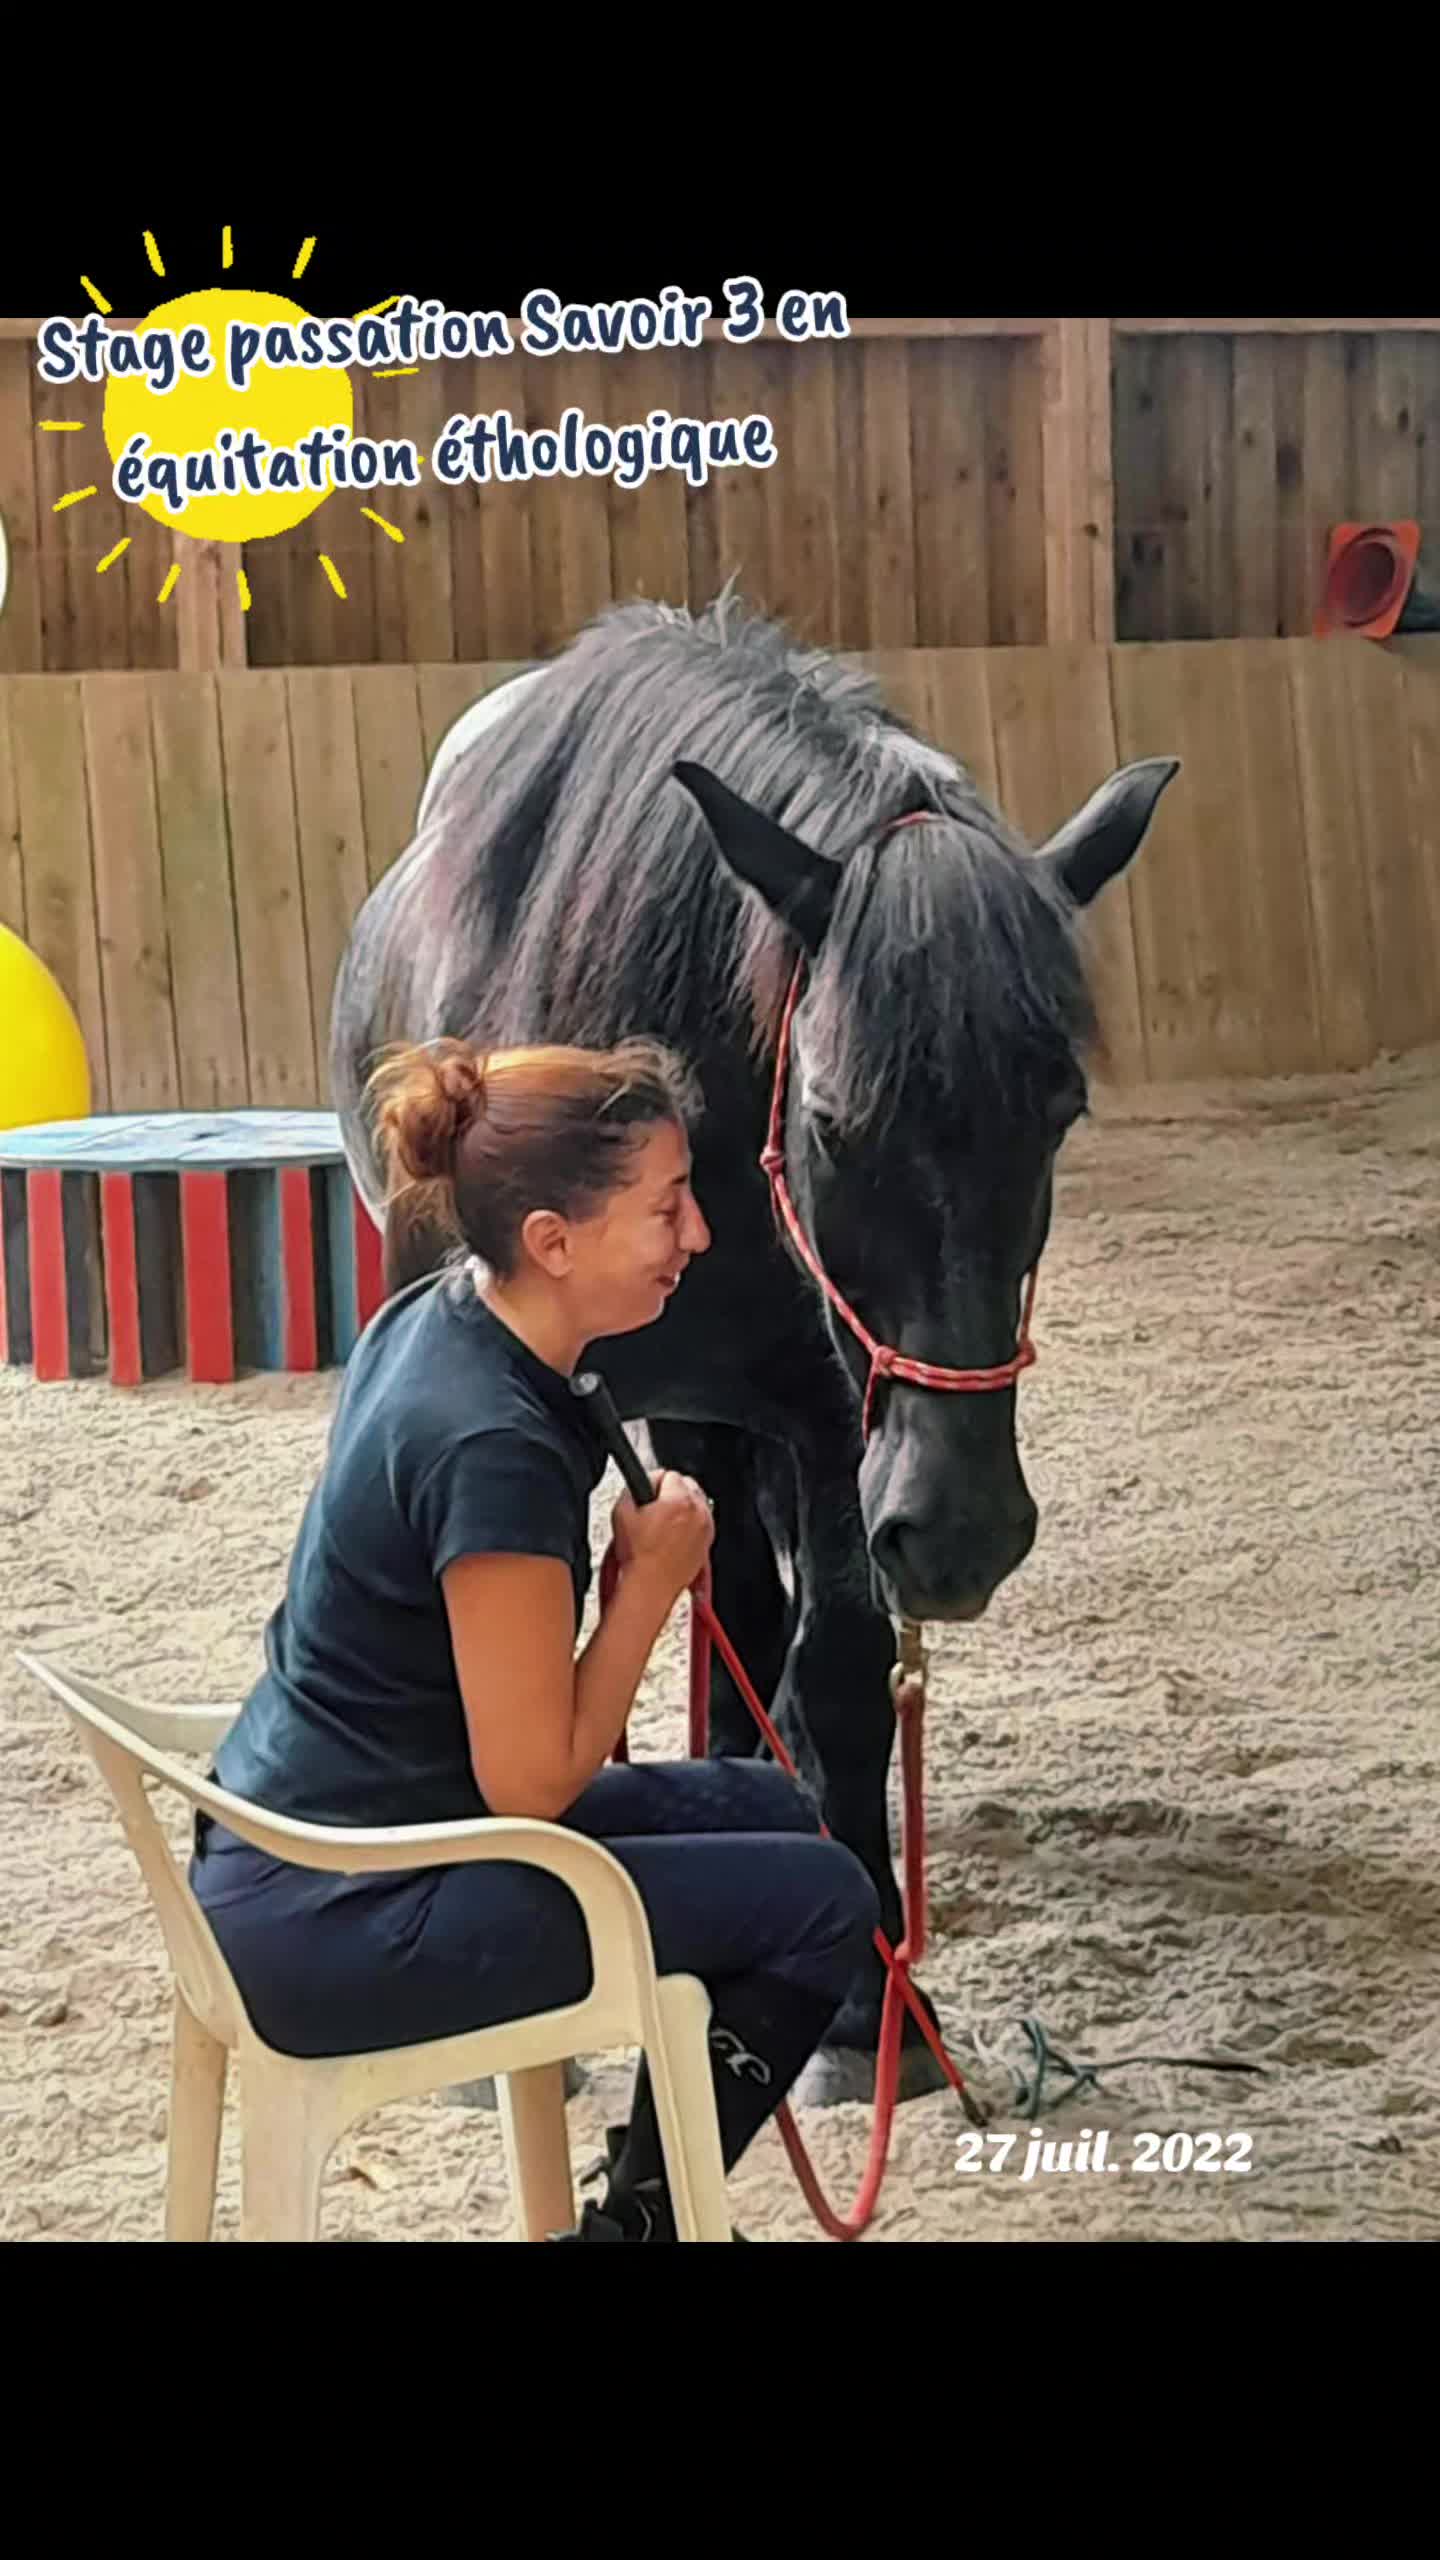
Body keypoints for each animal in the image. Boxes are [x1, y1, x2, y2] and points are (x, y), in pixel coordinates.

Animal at [329, 592, 1178, 2105]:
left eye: (1060, 1112)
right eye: (834, 1116)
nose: (963, 1531)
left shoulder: (835, 1413)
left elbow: (831, 1658)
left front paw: (866, 2004)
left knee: (748, 1602)